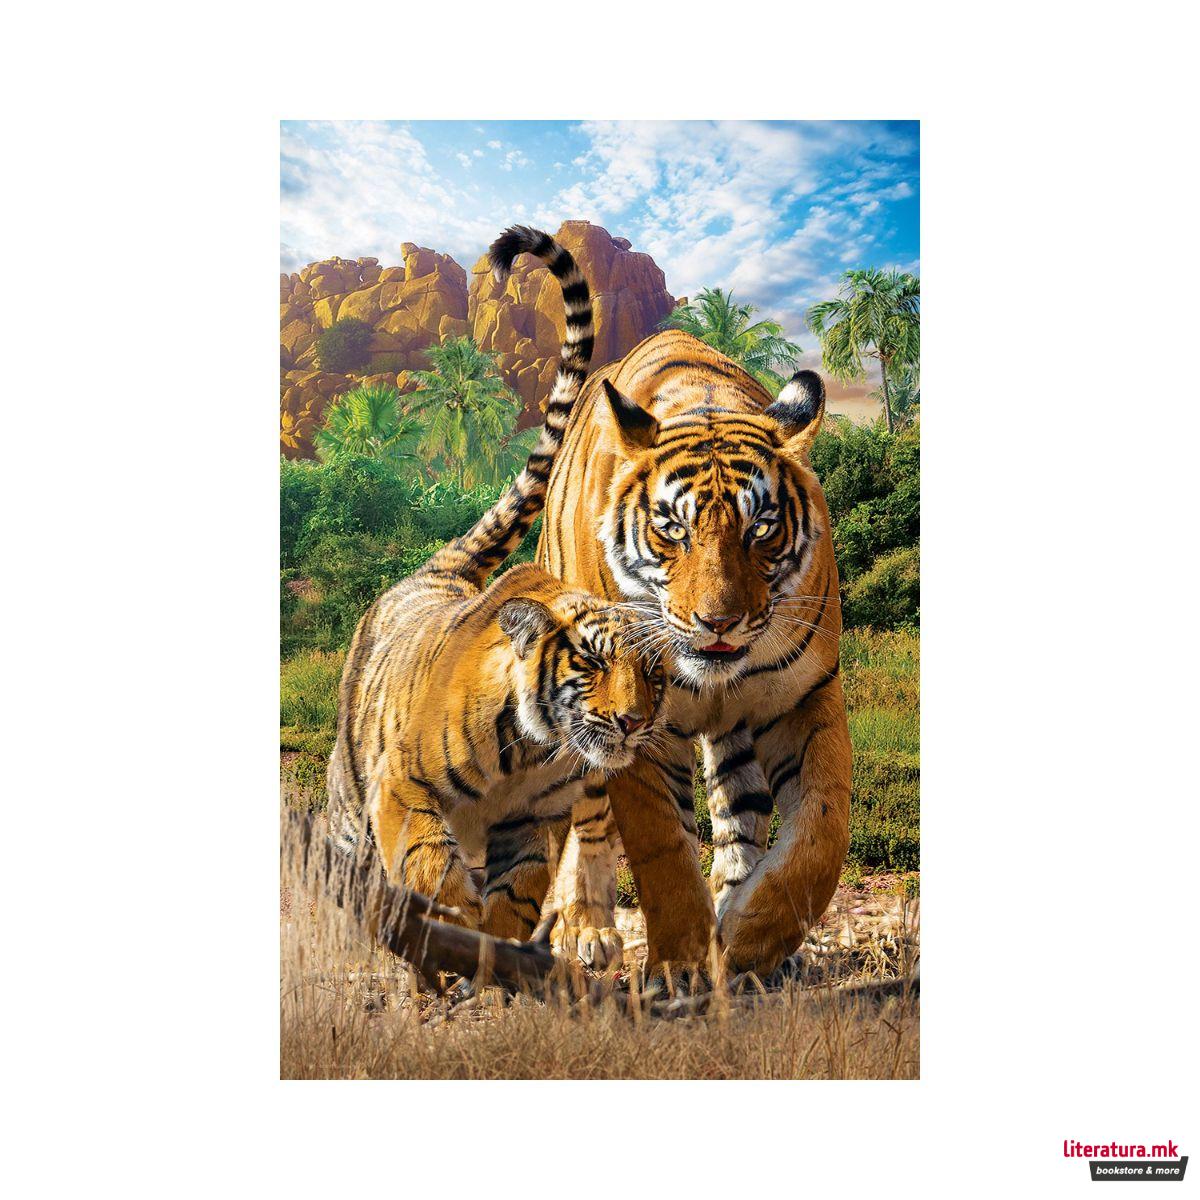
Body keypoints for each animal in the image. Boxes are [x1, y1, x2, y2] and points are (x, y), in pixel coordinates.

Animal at [326, 227, 665, 946]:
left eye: (654, 674)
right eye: (592, 662)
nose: (632, 721)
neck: (533, 753)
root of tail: (438, 572)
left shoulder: (532, 824)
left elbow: (519, 892)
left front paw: (499, 945)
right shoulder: (403, 787)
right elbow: (431, 865)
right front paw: (452, 925)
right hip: (351, 788)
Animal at [535, 321, 853, 977]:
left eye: (761, 529)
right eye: (673, 530)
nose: (719, 623)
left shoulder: (805, 698)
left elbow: (820, 834)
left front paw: (751, 940)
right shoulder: (634, 725)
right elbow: (663, 849)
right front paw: (680, 966)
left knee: (740, 815)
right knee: (587, 820)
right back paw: (585, 930)